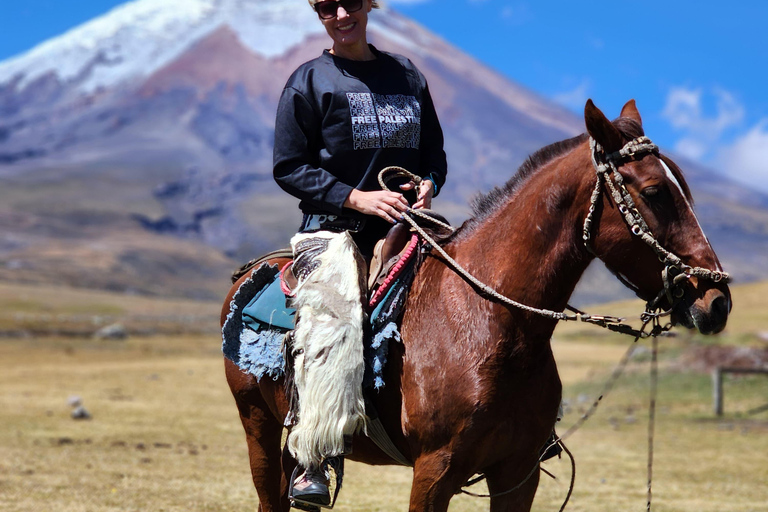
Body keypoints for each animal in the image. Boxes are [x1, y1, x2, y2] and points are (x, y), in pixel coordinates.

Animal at [220, 100, 732, 512]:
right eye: (654, 192)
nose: (717, 301)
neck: (493, 325)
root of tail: (253, 270)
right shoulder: (435, 470)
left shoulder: (517, 474)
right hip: (256, 423)